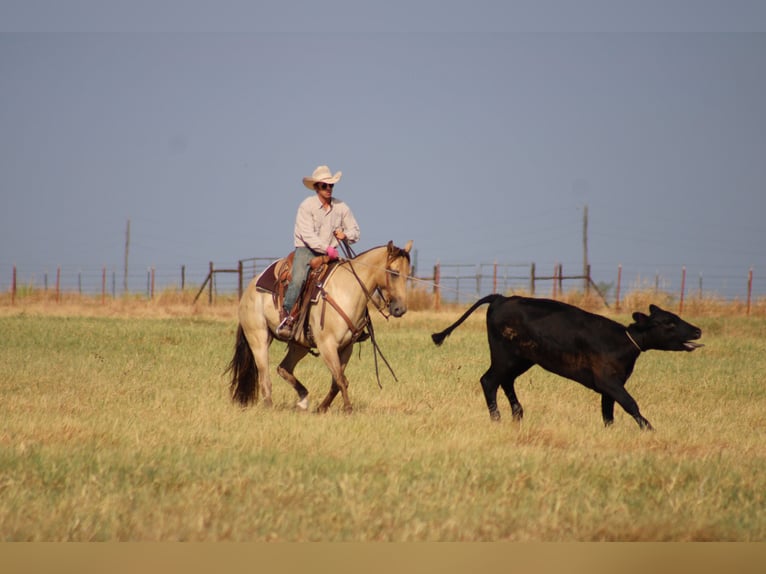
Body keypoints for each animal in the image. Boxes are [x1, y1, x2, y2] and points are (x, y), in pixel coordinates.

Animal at [227, 240, 413, 413]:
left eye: (408, 275)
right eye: (394, 273)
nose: (400, 309)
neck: (347, 290)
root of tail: (249, 290)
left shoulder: (346, 347)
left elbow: (337, 381)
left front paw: (322, 408)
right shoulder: (327, 345)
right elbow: (341, 379)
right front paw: (348, 409)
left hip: (299, 345)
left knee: (283, 368)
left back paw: (303, 400)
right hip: (258, 339)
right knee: (265, 378)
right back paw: (270, 407)